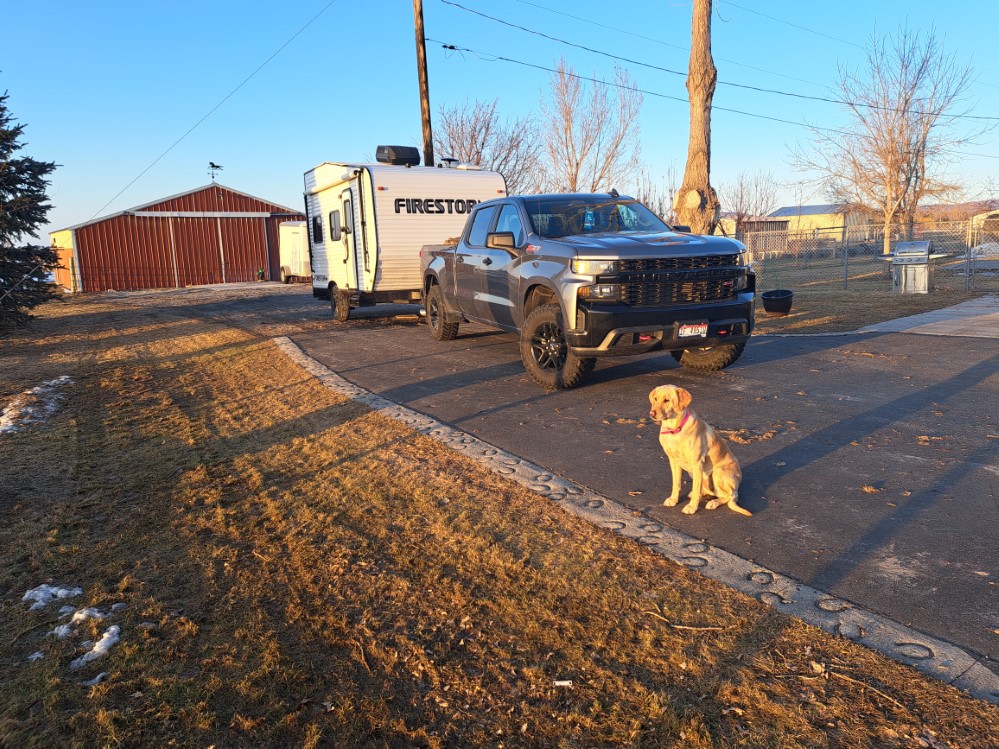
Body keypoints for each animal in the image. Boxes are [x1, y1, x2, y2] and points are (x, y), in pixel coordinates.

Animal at [648, 386, 752, 516]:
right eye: (655, 399)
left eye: (666, 400)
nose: (651, 413)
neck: (675, 429)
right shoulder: (673, 461)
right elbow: (676, 484)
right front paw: (673, 499)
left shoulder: (697, 463)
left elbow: (696, 489)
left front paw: (692, 507)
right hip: (693, 472)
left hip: (718, 473)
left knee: (729, 496)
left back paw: (713, 503)